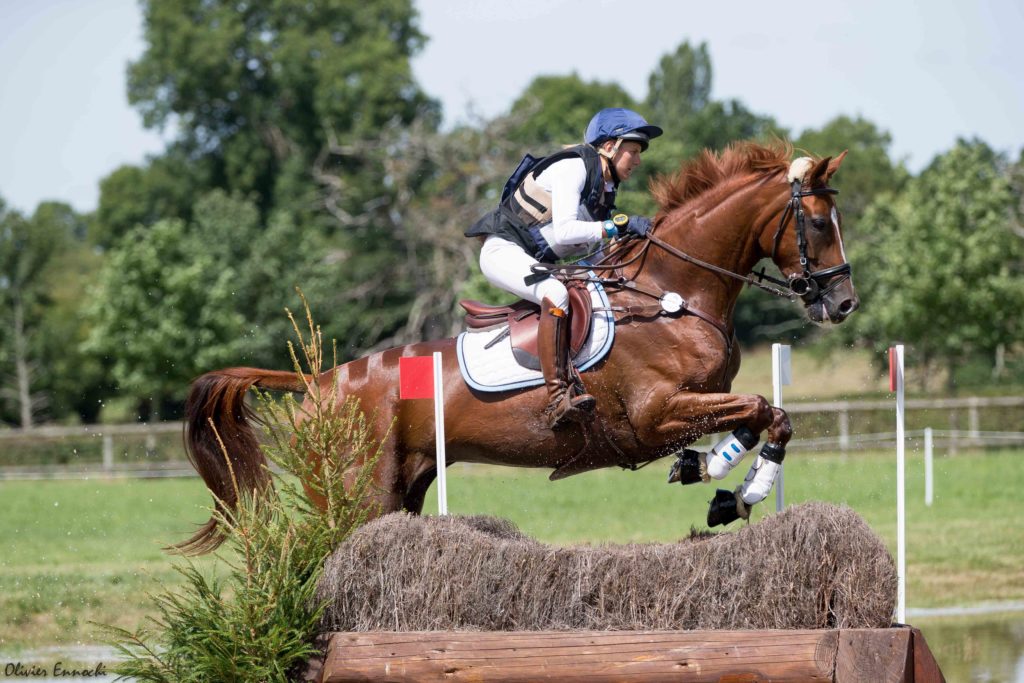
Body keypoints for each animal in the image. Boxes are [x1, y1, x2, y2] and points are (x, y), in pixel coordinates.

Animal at [178, 144, 856, 557]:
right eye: (819, 223)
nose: (843, 302)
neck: (673, 293)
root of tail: (316, 384)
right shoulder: (654, 413)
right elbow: (761, 409)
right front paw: (728, 481)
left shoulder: (691, 403)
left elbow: (772, 415)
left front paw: (723, 487)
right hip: (356, 491)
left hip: (406, 484)